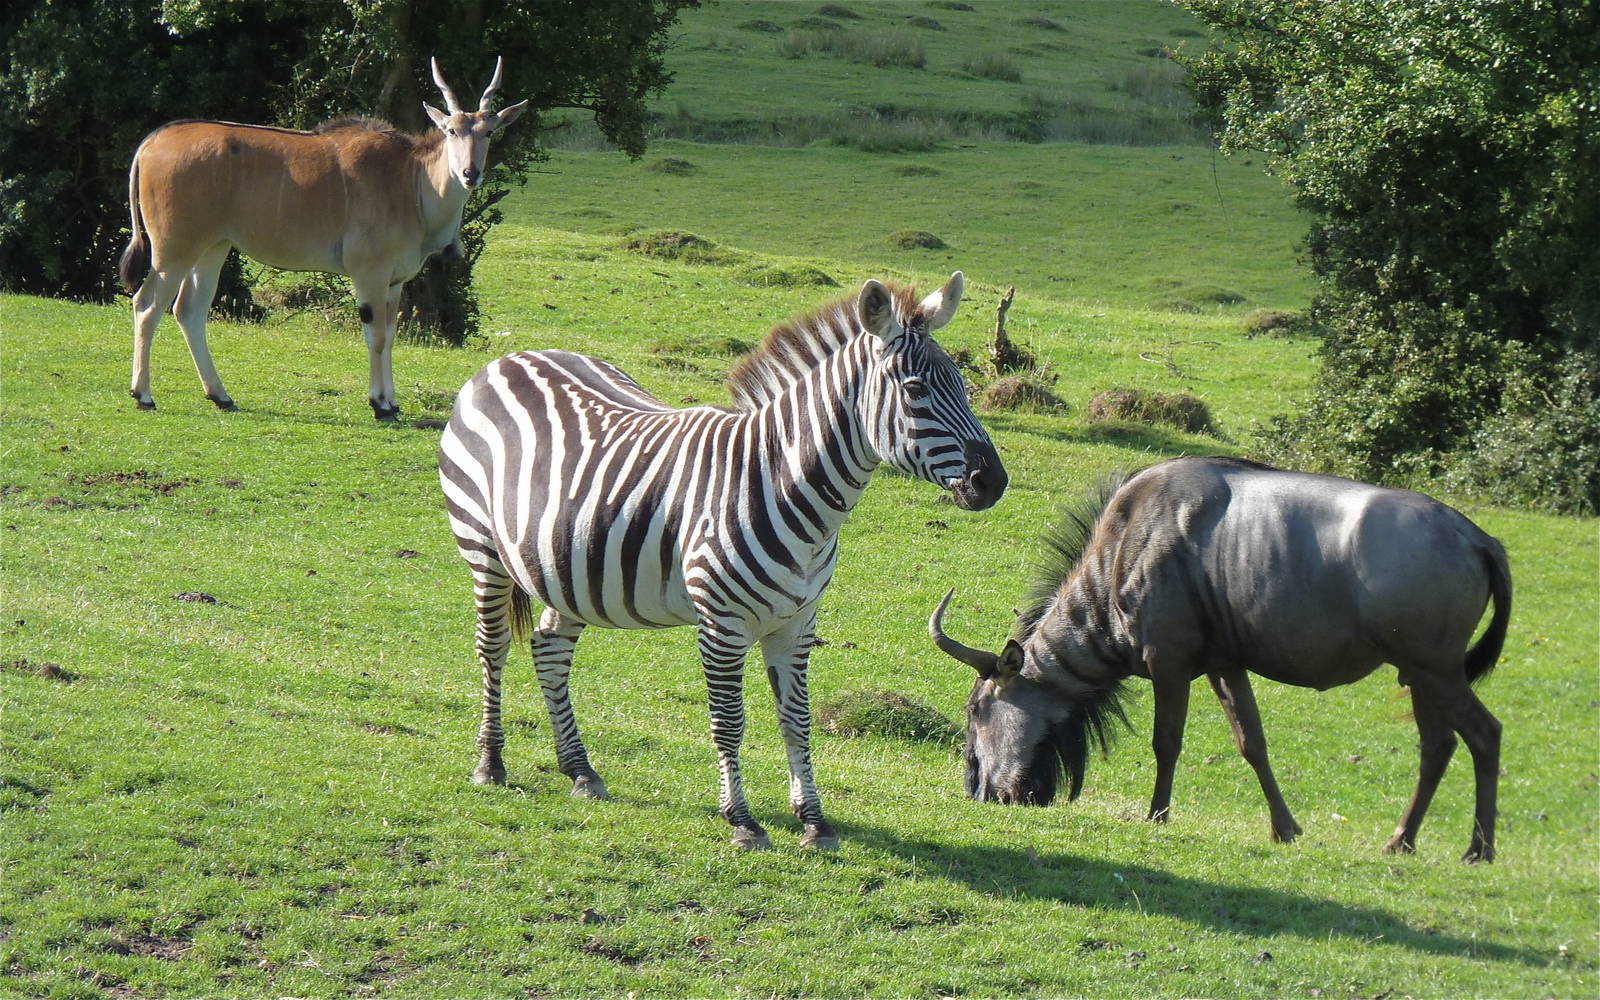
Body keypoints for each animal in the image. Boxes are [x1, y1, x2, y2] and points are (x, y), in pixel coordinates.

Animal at [119, 58, 527, 419]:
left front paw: (393, 402)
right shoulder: (369, 274)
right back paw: (144, 395)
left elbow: (391, 334)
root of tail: (152, 142)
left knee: (189, 310)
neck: (411, 179)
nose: (470, 173)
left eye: (488, 132)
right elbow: (376, 336)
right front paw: (380, 405)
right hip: (173, 250)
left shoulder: (394, 282)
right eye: (451, 131)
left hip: (211, 249)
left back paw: (220, 395)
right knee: (147, 303)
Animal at [438, 272, 1007, 850]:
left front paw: (815, 821)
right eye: (914, 391)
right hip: (482, 548)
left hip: (566, 567)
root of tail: (509, 358)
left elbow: (796, 720)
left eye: (963, 387)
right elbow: (729, 722)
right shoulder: (722, 623)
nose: (994, 482)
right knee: (493, 648)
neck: (781, 482)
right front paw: (743, 821)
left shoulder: (798, 623)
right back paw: (490, 763)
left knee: (549, 648)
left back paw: (580, 770)